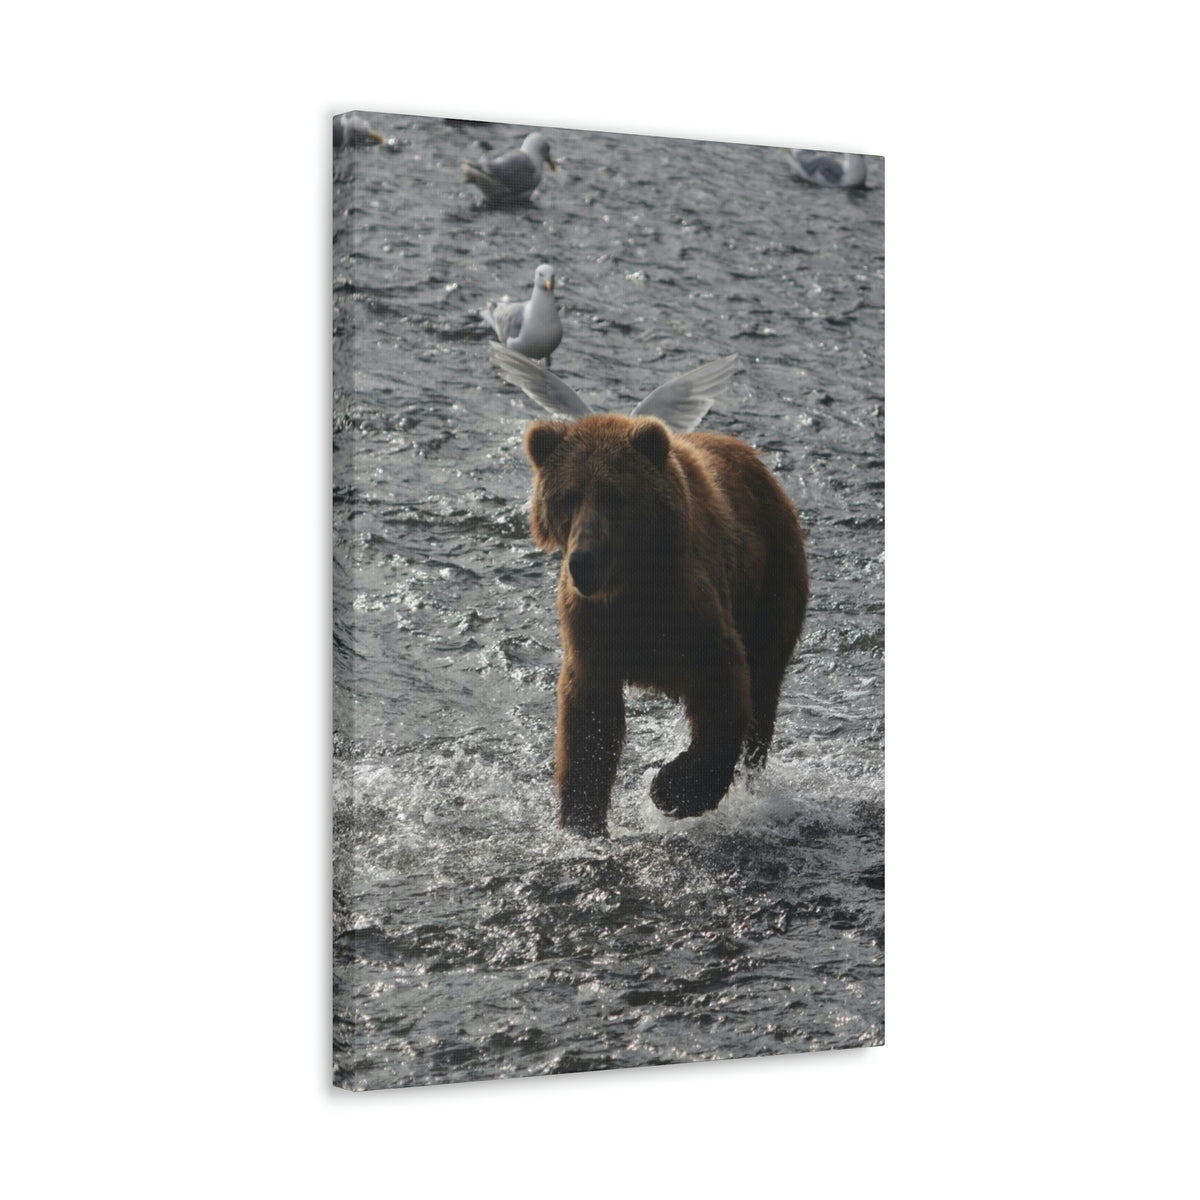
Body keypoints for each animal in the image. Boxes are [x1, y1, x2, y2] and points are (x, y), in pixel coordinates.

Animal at [524, 412, 809, 836]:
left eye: (613, 495)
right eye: (569, 496)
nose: (583, 560)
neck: (631, 586)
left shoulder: (689, 607)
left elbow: (722, 686)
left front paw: (672, 789)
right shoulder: (592, 625)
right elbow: (590, 717)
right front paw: (582, 820)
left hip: (772, 582)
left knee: (763, 686)